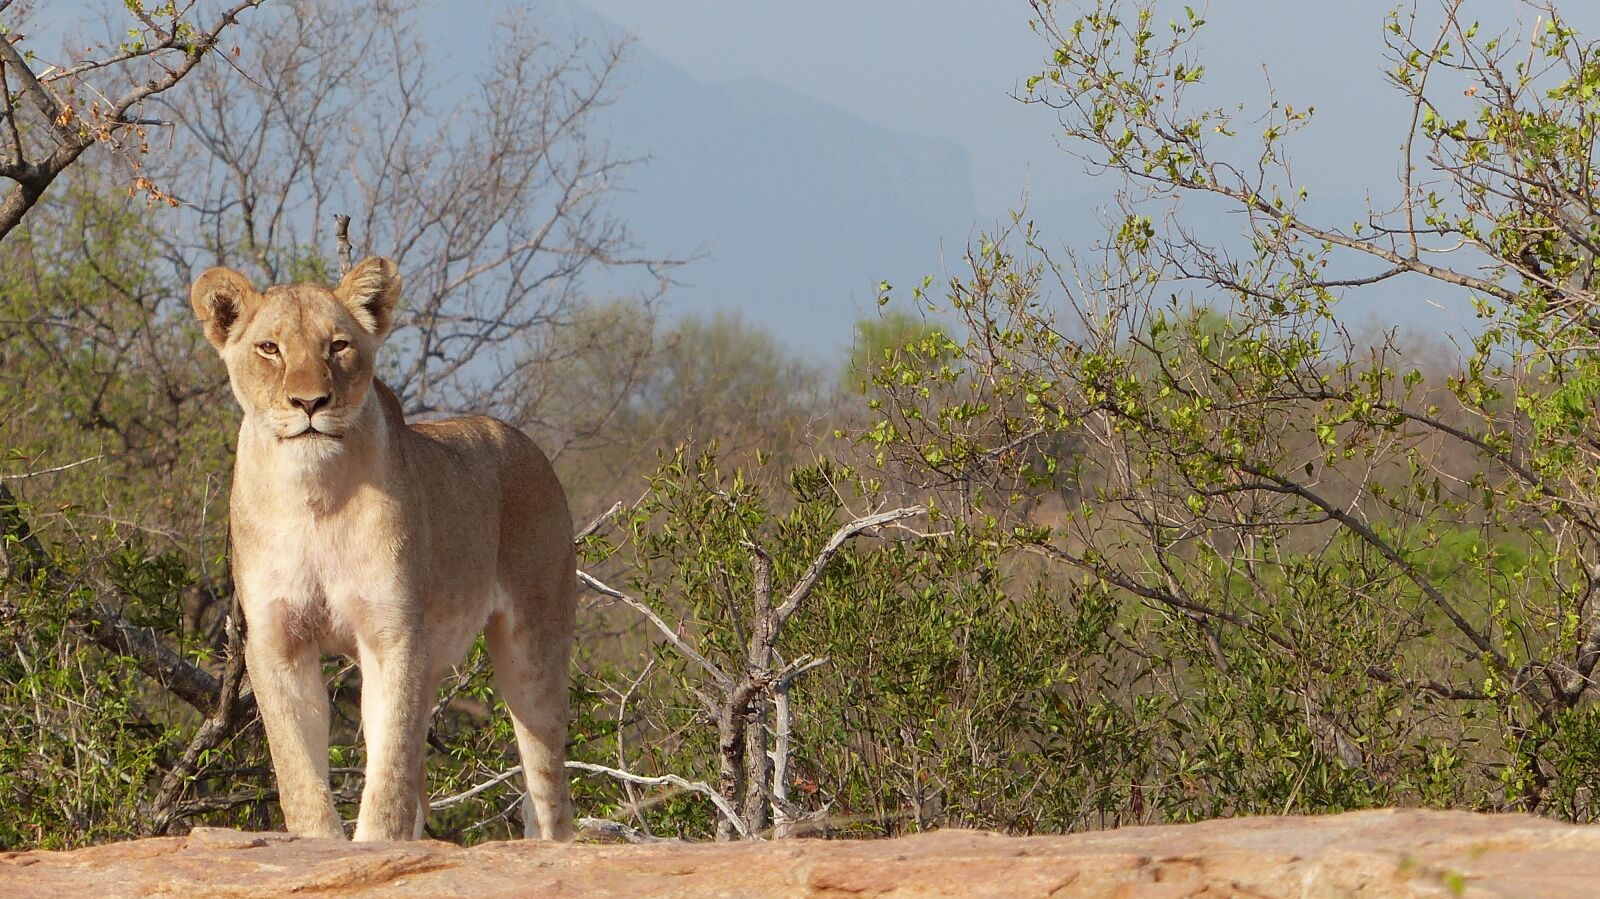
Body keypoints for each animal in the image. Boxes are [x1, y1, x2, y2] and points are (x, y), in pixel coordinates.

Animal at [190, 257, 576, 842]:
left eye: (338, 346)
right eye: (270, 348)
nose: (310, 403)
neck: (314, 494)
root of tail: (524, 441)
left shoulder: (394, 634)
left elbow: (389, 768)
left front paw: (376, 844)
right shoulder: (277, 641)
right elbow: (298, 768)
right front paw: (317, 843)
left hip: (535, 647)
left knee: (548, 789)